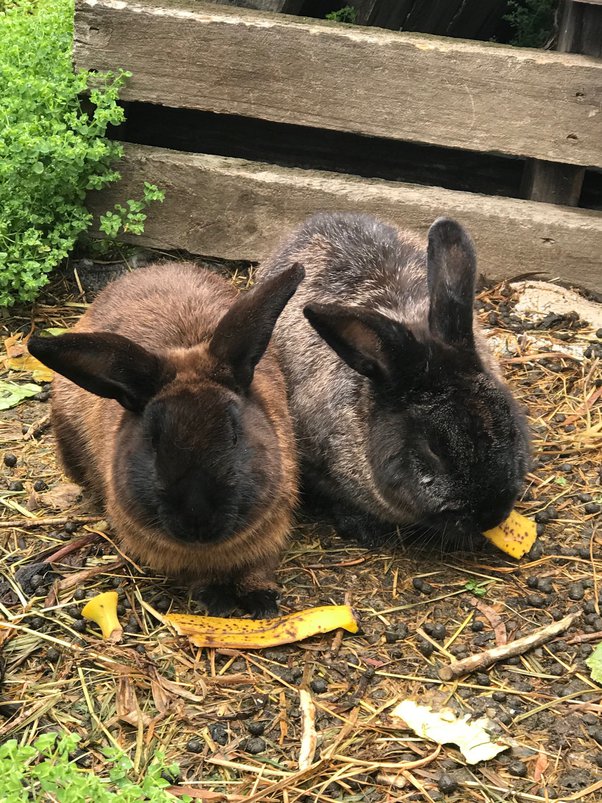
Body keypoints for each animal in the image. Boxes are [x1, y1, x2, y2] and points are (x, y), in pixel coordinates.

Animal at [29, 261, 304, 617]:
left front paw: (261, 601)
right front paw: (217, 600)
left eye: (234, 434)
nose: (197, 519)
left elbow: (258, 568)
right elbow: (199, 577)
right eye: (154, 441)